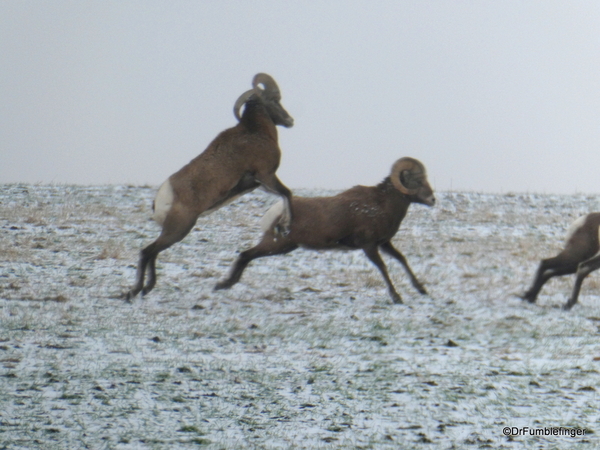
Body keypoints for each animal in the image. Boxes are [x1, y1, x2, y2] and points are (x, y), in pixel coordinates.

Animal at [127, 72, 296, 300]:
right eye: (275, 99)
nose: (290, 121)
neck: (255, 132)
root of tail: (162, 197)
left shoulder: (259, 183)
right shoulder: (266, 176)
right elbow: (287, 193)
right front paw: (285, 227)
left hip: (174, 230)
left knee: (152, 252)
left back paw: (146, 288)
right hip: (179, 229)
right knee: (147, 251)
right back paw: (136, 290)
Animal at [213, 156, 434, 304]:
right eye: (417, 180)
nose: (432, 200)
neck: (382, 205)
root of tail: (278, 211)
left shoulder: (384, 243)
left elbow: (402, 259)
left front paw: (422, 289)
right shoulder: (369, 246)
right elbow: (383, 268)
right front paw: (396, 297)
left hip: (282, 247)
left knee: (246, 256)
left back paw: (226, 284)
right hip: (276, 245)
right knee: (245, 255)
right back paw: (223, 285)